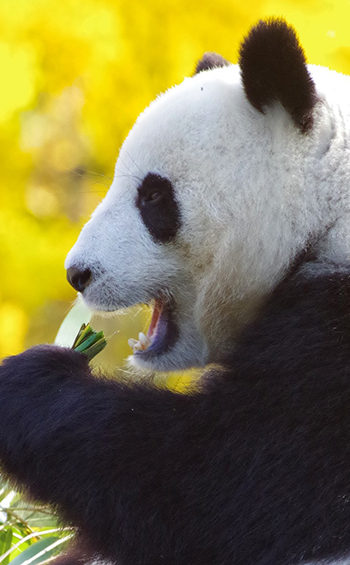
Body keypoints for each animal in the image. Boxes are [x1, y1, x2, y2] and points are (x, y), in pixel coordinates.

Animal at [0, 17, 350, 564]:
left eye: (153, 196)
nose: (78, 274)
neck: (328, 212)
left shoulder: (332, 367)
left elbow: (203, 491)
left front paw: (28, 380)